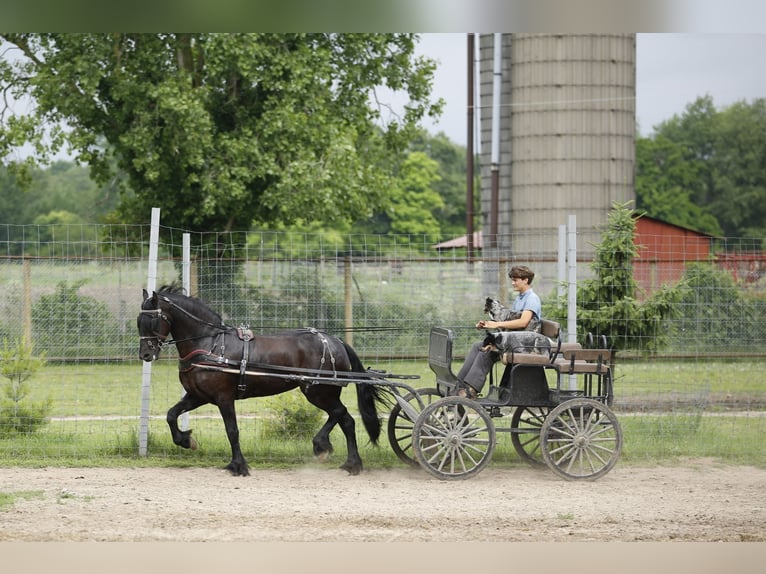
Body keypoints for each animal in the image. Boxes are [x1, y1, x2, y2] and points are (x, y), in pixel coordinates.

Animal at [136, 286, 390, 480]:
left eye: (153, 320)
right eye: (139, 320)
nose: (145, 355)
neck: (210, 344)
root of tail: (336, 341)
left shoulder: (223, 398)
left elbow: (232, 430)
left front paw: (238, 465)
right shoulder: (197, 396)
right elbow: (171, 415)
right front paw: (186, 440)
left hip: (319, 392)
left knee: (340, 415)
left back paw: (324, 447)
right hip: (323, 393)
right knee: (346, 420)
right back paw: (350, 463)